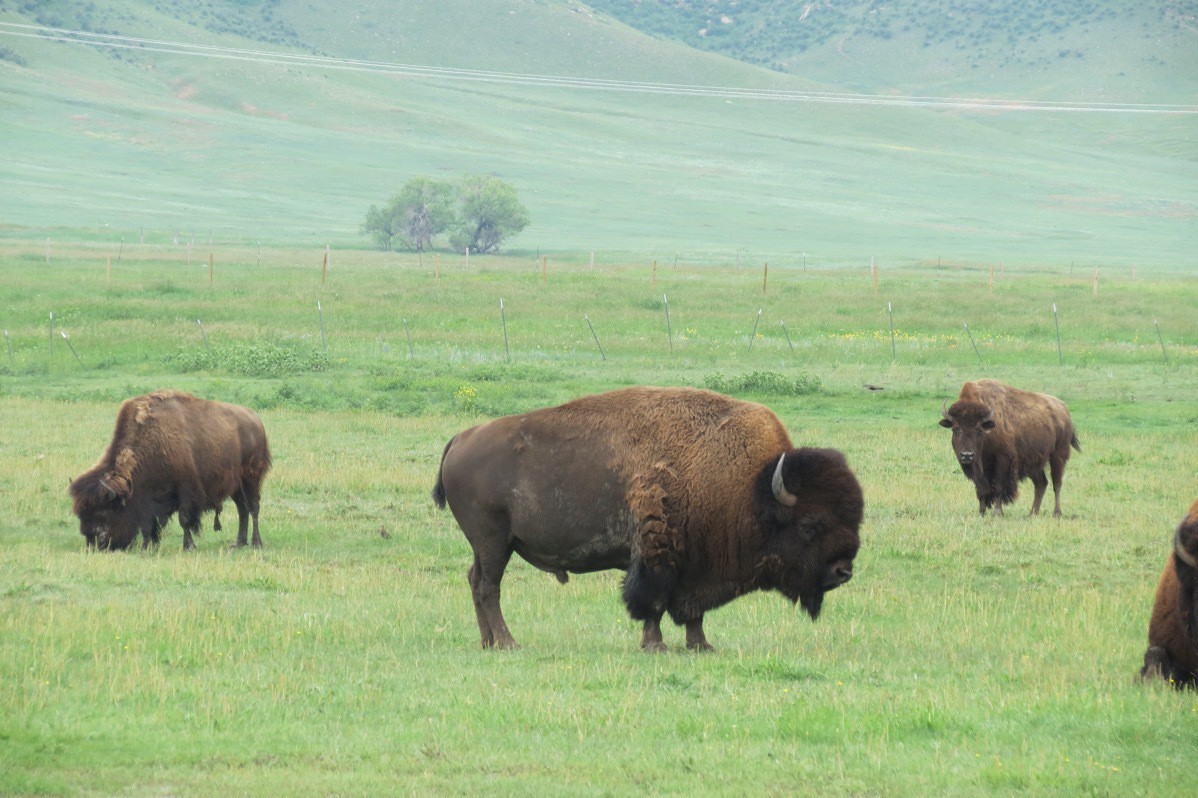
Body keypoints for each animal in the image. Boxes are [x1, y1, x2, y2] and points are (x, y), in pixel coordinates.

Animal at [69, 390, 271, 551]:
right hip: (235, 485)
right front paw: (146, 546)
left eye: (102, 512)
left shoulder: (185, 491)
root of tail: (256, 421)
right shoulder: (148, 499)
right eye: (81, 514)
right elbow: (148, 524)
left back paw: (256, 543)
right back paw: (238, 543)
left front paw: (189, 546)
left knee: (253, 507)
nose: (94, 545)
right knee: (242, 509)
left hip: (251, 478)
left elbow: (184, 519)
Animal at [432, 386, 864, 651]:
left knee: (475, 581)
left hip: (489, 545)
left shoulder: (698, 563)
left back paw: (489, 642)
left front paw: (701, 645)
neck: (751, 485)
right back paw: (508, 642)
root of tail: (461, 438)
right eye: (810, 525)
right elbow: (652, 600)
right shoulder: (659, 553)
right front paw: (655, 645)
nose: (843, 571)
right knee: (489, 586)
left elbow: (692, 611)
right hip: (493, 539)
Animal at [939, 379, 1080, 516]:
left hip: (1058, 456)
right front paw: (981, 512)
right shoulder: (978, 467)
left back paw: (1056, 513)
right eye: (955, 429)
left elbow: (998, 488)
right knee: (1041, 484)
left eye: (979, 429)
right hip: (1034, 463)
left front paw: (997, 513)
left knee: (1057, 484)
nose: (967, 455)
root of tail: (1064, 410)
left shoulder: (1003, 460)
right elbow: (981, 489)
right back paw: (1032, 513)